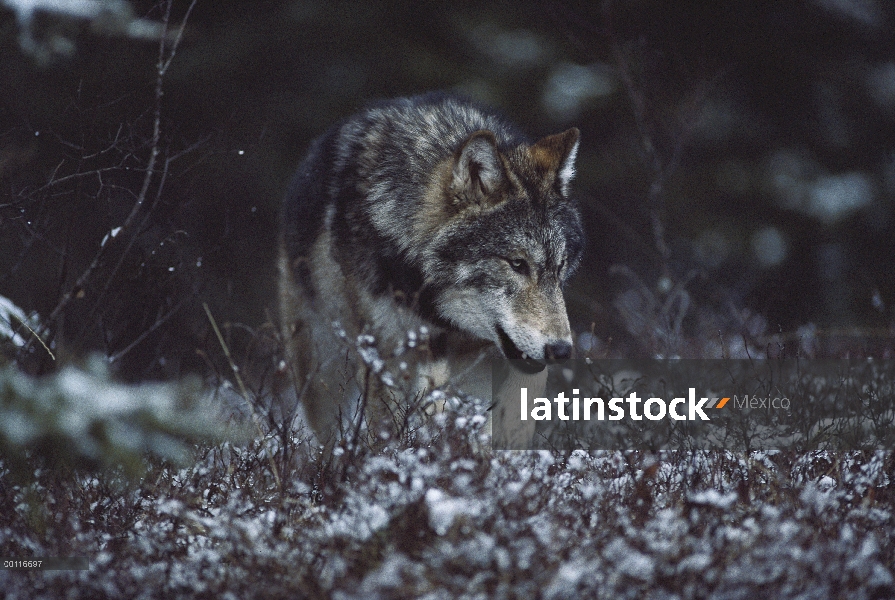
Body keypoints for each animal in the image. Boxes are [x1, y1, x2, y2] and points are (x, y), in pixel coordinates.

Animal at [280, 92, 588, 450]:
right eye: (517, 263)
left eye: (560, 265)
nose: (562, 351)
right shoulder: (385, 353)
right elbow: (389, 432)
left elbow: (520, 403)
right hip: (320, 372)